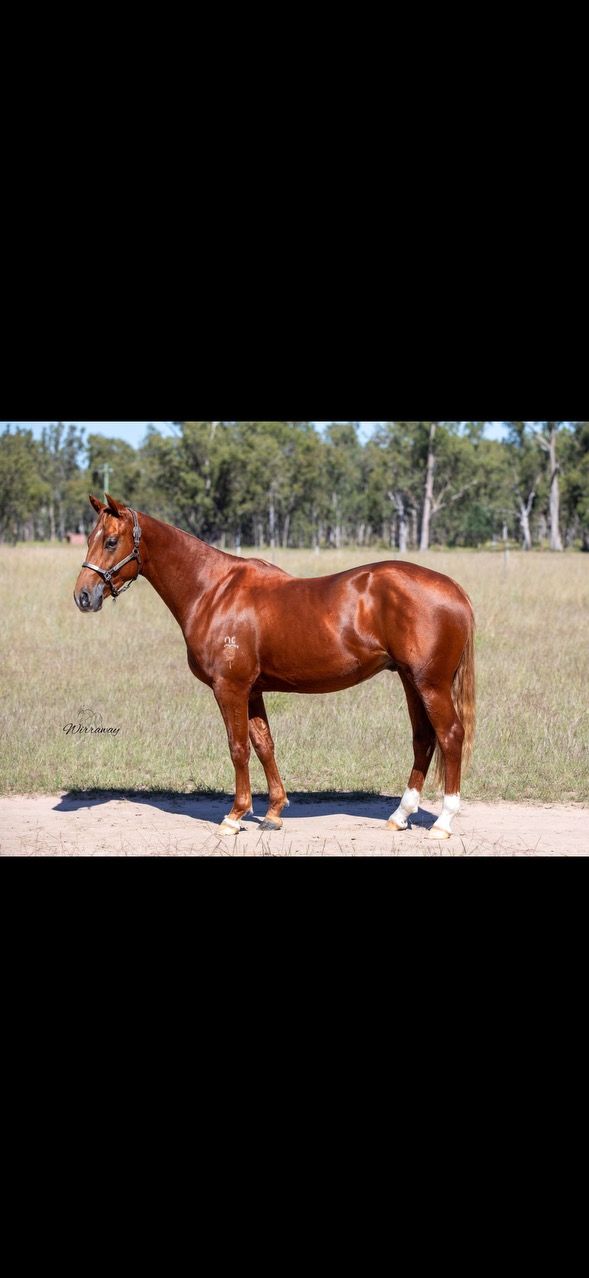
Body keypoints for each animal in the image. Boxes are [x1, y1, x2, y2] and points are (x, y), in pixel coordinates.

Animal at [73, 494, 476, 840]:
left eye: (110, 541)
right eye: (90, 538)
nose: (83, 596)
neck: (213, 591)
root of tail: (453, 587)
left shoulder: (230, 687)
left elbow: (238, 747)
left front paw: (235, 816)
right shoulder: (252, 690)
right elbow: (264, 744)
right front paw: (273, 813)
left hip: (430, 684)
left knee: (451, 736)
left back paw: (442, 822)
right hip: (411, 680)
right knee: (423, 739)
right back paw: (400, 816)